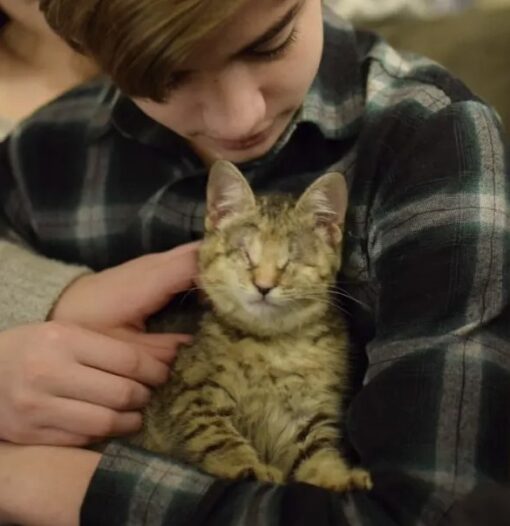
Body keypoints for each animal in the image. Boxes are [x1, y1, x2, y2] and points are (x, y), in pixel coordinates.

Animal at [138, 161, 370, 496]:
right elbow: (218, 436)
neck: (272, 345)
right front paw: (249, 467)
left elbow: (317, 453)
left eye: (290, 261)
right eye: (246, 255)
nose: (264, 285)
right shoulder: (192, 398)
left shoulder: (308, 414)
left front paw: (338, 478)